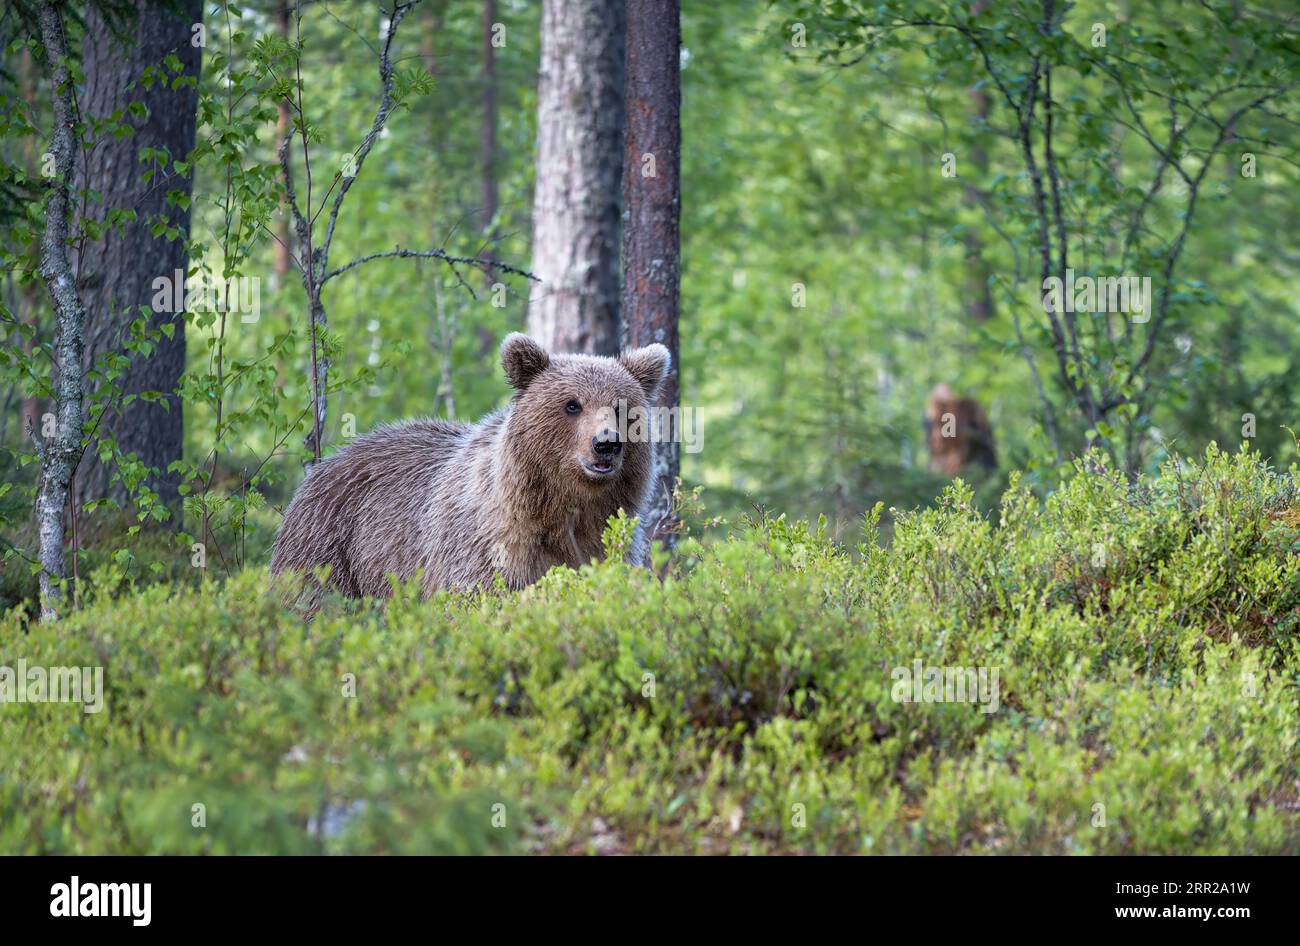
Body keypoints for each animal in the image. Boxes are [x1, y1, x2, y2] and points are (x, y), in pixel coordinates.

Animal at [266, 335, 670, 597]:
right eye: (572, 404)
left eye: (620, 406)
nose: (606, 443)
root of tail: (327, 462)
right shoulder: (486, 548)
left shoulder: (606, 543)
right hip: (331, 546)